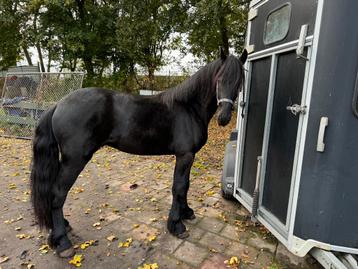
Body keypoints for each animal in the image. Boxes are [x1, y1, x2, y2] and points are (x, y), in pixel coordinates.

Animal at [30, 49, 248, 256]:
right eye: (219, 79)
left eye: (239, 82)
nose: (224, 117)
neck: (188, 108)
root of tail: (58, 104)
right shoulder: (184, 155)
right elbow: (178, 187)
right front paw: (177, 225)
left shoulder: (189, 156)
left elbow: (185, 186)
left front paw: (186, 212)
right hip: (74, 161)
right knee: (57, 194)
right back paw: (62, 242)